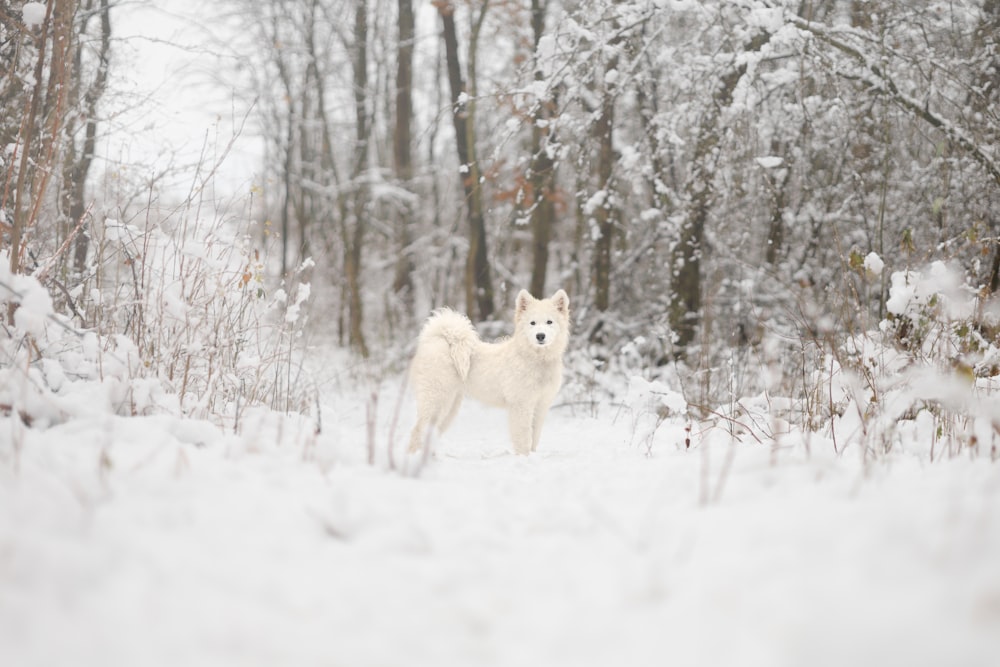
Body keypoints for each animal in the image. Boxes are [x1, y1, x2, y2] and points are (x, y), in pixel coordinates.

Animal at [408, 290, 572, 456]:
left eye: (549, 322)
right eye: (532, 323)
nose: (540, 336)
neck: (535, 359)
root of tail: (435, 341)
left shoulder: (541, 406)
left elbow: (534, 437)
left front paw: (531, 455)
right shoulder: (521, 405)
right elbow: (524, 438)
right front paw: (523, 457)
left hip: (450, 406)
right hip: (436, 400)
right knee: (417, 431)